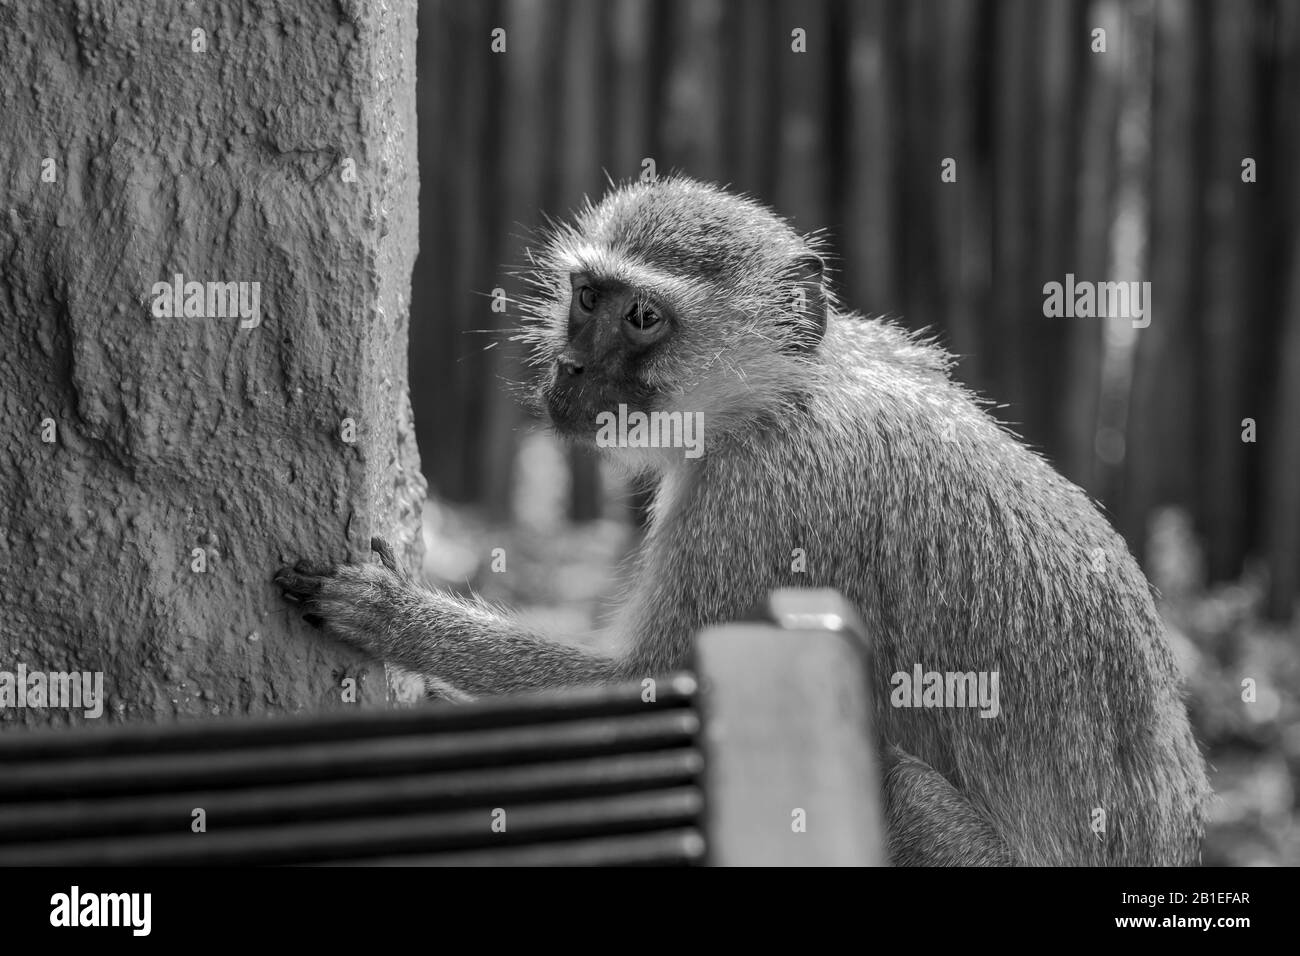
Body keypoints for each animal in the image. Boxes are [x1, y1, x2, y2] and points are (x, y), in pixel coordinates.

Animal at [276, 176, 1210, 866]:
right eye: (587, 296)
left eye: (642, 317)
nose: (570, 366)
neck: (781, 397)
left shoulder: (764, 505)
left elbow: (658, 688)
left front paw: (398, 620)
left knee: (896, 786)